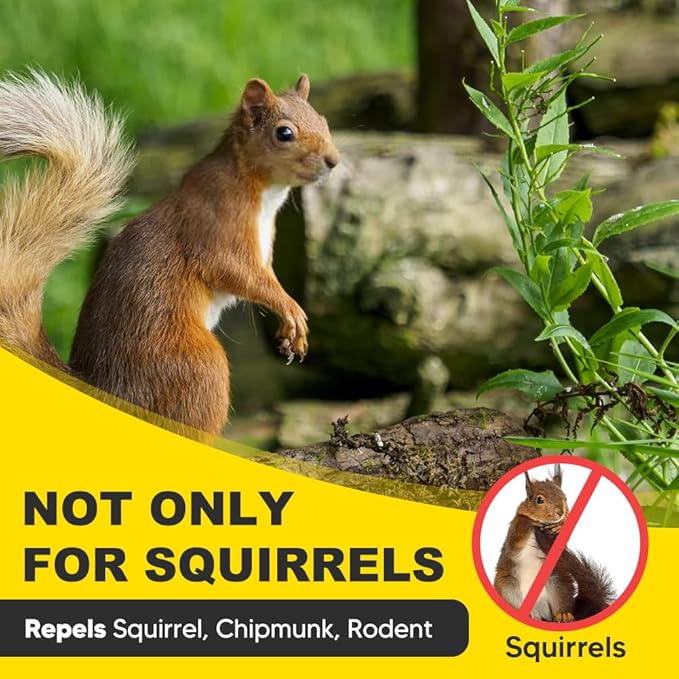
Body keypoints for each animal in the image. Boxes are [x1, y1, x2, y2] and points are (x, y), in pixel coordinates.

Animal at [0, 70, 339, 435]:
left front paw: (290, 332)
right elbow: (238, 274)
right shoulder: (215, 230)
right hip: (199, 364)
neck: (261, 190)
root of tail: (109, 396)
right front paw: (291, 310)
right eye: (284, 133)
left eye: (323, 120)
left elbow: (266, 278)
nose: (333, 161)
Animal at [494, 464, 616, 622]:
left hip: (559, 585)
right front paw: (530, 520)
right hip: (508, 588)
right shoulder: (514, 534)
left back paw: (563, 615)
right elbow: (519, 531)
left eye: (565, 498)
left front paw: (560, 525)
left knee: (562, 604)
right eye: (539, 500)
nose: (561, 512)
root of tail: (540, 613)